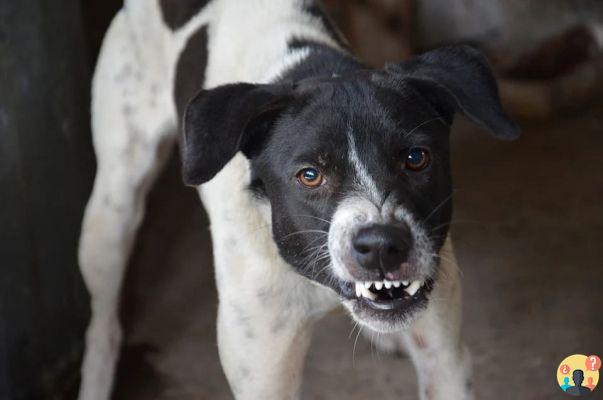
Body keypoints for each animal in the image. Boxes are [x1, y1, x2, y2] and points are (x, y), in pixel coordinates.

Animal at [76, 1, 520, 398]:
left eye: (416, 158)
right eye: (309, 175)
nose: (382, 246)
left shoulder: (445, 359)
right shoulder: (264, 377)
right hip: (111, 212)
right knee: (103, 323)